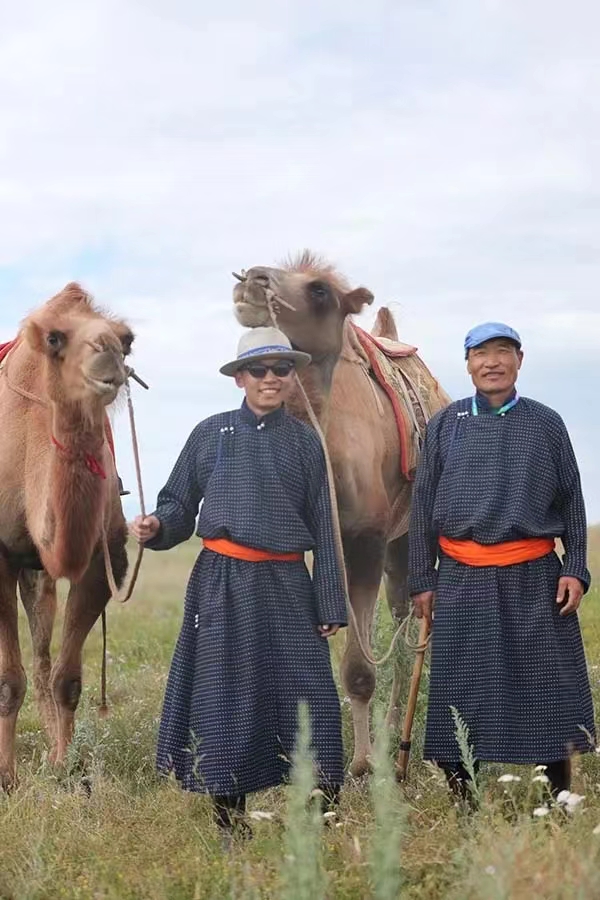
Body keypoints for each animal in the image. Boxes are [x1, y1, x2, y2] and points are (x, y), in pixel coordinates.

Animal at [0, 284, 132, 788]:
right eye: (55, 338)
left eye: (126, 340)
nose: (108, 353)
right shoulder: (0, 555)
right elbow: (7, 681)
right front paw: (6, 776)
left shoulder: (102, 559)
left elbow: (66, 679)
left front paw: (64, 766)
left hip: (38, 574)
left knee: (41, 657)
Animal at [231, 251, 450, 772]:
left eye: (320, 291)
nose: (253, 279)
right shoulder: (322, 542)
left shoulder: (365, 537)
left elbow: (358, 668)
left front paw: (363, 766)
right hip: (398, 541)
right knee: (403, 616)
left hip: (409, 535)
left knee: (416, 627)